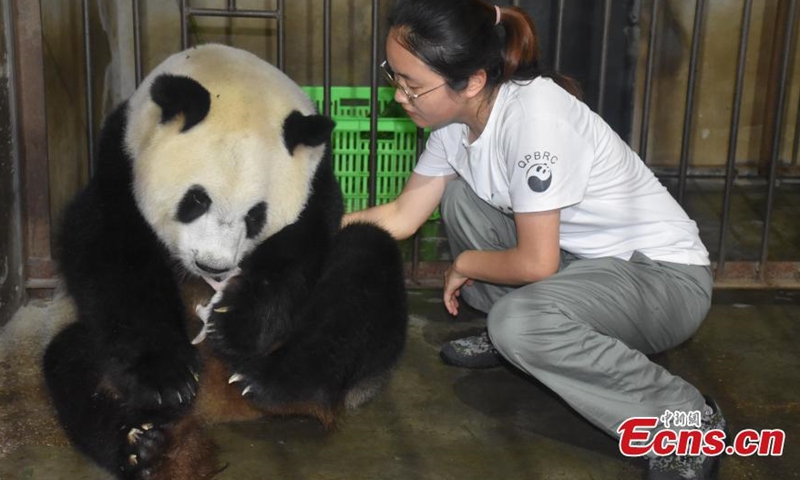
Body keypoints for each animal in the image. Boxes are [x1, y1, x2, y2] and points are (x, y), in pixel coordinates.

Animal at [42, 44, 408, 480]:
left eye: (256, 216)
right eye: (196, 199)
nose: (213, 266)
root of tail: (219, 404)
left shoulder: (316, 184)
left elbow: (298, 252)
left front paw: (232, 322)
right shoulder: (120, 161)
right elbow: (110, 253)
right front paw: (167, 379)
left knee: (364, 264)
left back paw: (274, 382)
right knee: (73, 361)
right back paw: (141, 446)